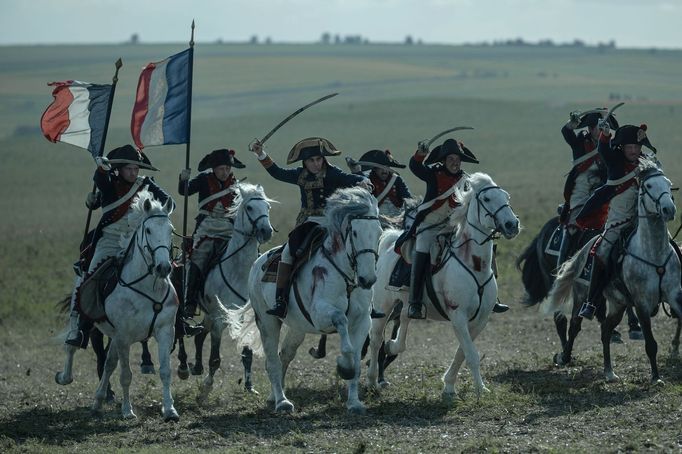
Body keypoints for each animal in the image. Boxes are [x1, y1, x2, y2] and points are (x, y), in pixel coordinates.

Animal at [56, 190, 178, 420]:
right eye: (148, 230)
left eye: (171, 230)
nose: (164, 267)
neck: (146, 288)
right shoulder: (124, 337)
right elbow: (126, 374)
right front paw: (127, 411)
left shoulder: (165, 330)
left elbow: (165, 371)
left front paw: (169, 410)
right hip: (87, 322)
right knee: (72, 346)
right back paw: (64, 376)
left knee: (108, 363)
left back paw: (98, 399)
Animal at [179, 182, 274, 400]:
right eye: (249, 207)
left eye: (267, 207)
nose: (266, 231)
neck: (238, 270)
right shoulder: (219, 319)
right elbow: (215, 358)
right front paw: (207, 386)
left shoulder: (244, 317)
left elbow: (247, 354)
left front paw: (249, 386)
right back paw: (185, 368)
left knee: (199, 335)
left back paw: (196, 367)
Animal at [230, 185, 382, 414]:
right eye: (355, 232)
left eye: (379, 233)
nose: (368, 279)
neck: (345, 275)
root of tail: (257, 263)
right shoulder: (321, 316)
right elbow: (342, 322)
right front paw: (343, 366)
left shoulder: (363, 321)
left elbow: (356, 359)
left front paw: (354, 403)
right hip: (267, 322)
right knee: (272, 361)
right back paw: (282, 402)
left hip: (297, 328)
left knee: (284, 355)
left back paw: (273, 396)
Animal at [364, 172, 516, 400]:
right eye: (487, 199)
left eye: (506, 196)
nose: (512, 224)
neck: (473, 265)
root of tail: (389, 244)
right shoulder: (458, 315)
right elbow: (471, 354)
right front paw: (480, 389)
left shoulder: (480, 320)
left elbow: (462, 353)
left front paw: (450, 385)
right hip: (383, 306)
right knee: (375, 339)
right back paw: (373, 380)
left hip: (406, 303)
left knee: (404, 318)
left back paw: (393, 346)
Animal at [548, 163, 680, 384]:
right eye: (649, 185)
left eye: (668, 184)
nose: (668, 209)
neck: (653, 254)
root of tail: (585, 249)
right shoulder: (642, 304)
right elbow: (651, 344)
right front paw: (655, 377)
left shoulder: (675, 296)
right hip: (582, 296)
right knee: (575, 325)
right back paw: (565, 357)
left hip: (618, 304)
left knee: (606, 330)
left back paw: (609, 371)